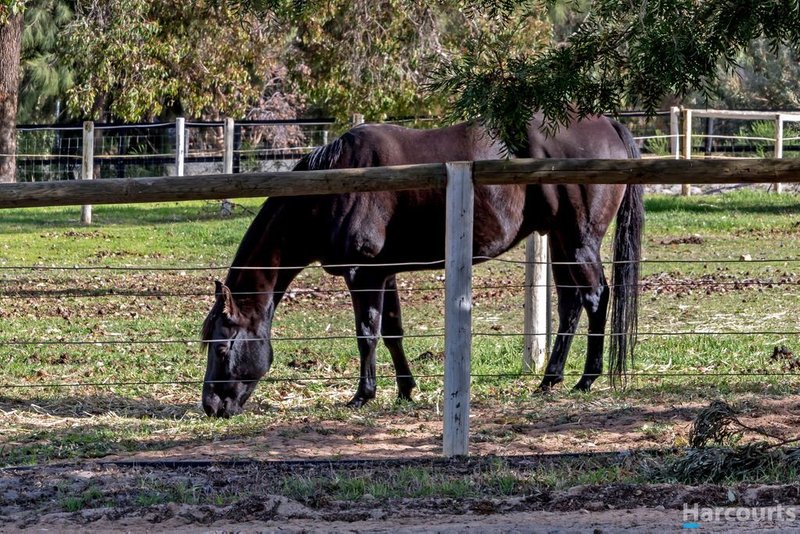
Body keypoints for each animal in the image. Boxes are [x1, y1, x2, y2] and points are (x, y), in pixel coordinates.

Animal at [202, 117, 644, 418]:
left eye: (222, 346)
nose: (211, 405)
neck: (336, 186)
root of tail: (608, 124)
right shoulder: (385, 273)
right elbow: (393, 332)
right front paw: (405, 389)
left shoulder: (363, 276)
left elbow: (367, 335)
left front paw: (362, 395)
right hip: (559, 239)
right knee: (570, 304)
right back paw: (549, 380)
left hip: (579, 240)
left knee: (595, 298)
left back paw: (587, 379)